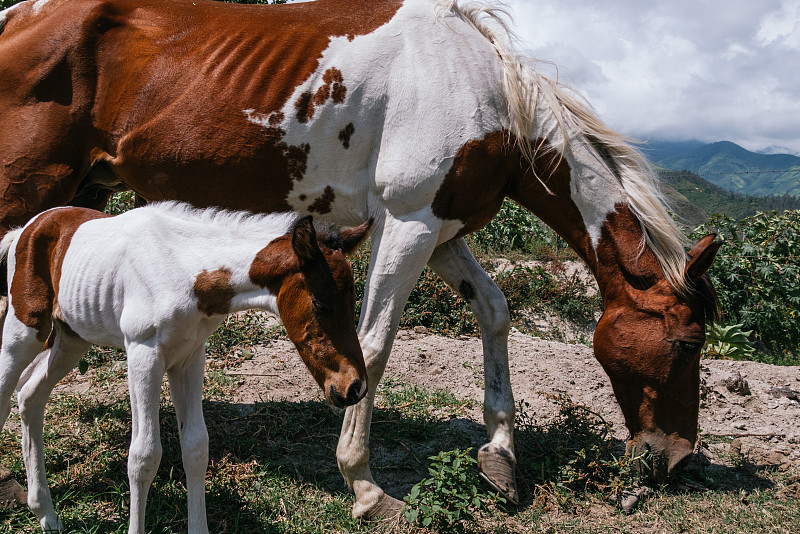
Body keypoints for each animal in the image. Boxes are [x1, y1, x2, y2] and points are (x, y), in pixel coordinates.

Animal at [0, 203, 370, 532]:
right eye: (320, 303)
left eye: (353, 298)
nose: (354, 387)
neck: (185, 270)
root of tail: (25, 229)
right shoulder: (143, 354)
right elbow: (144, 456)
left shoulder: (189, 357)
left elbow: (195, 447)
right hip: (24, 331)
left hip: (71, 338)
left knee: (30, 396)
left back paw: (46, 514)